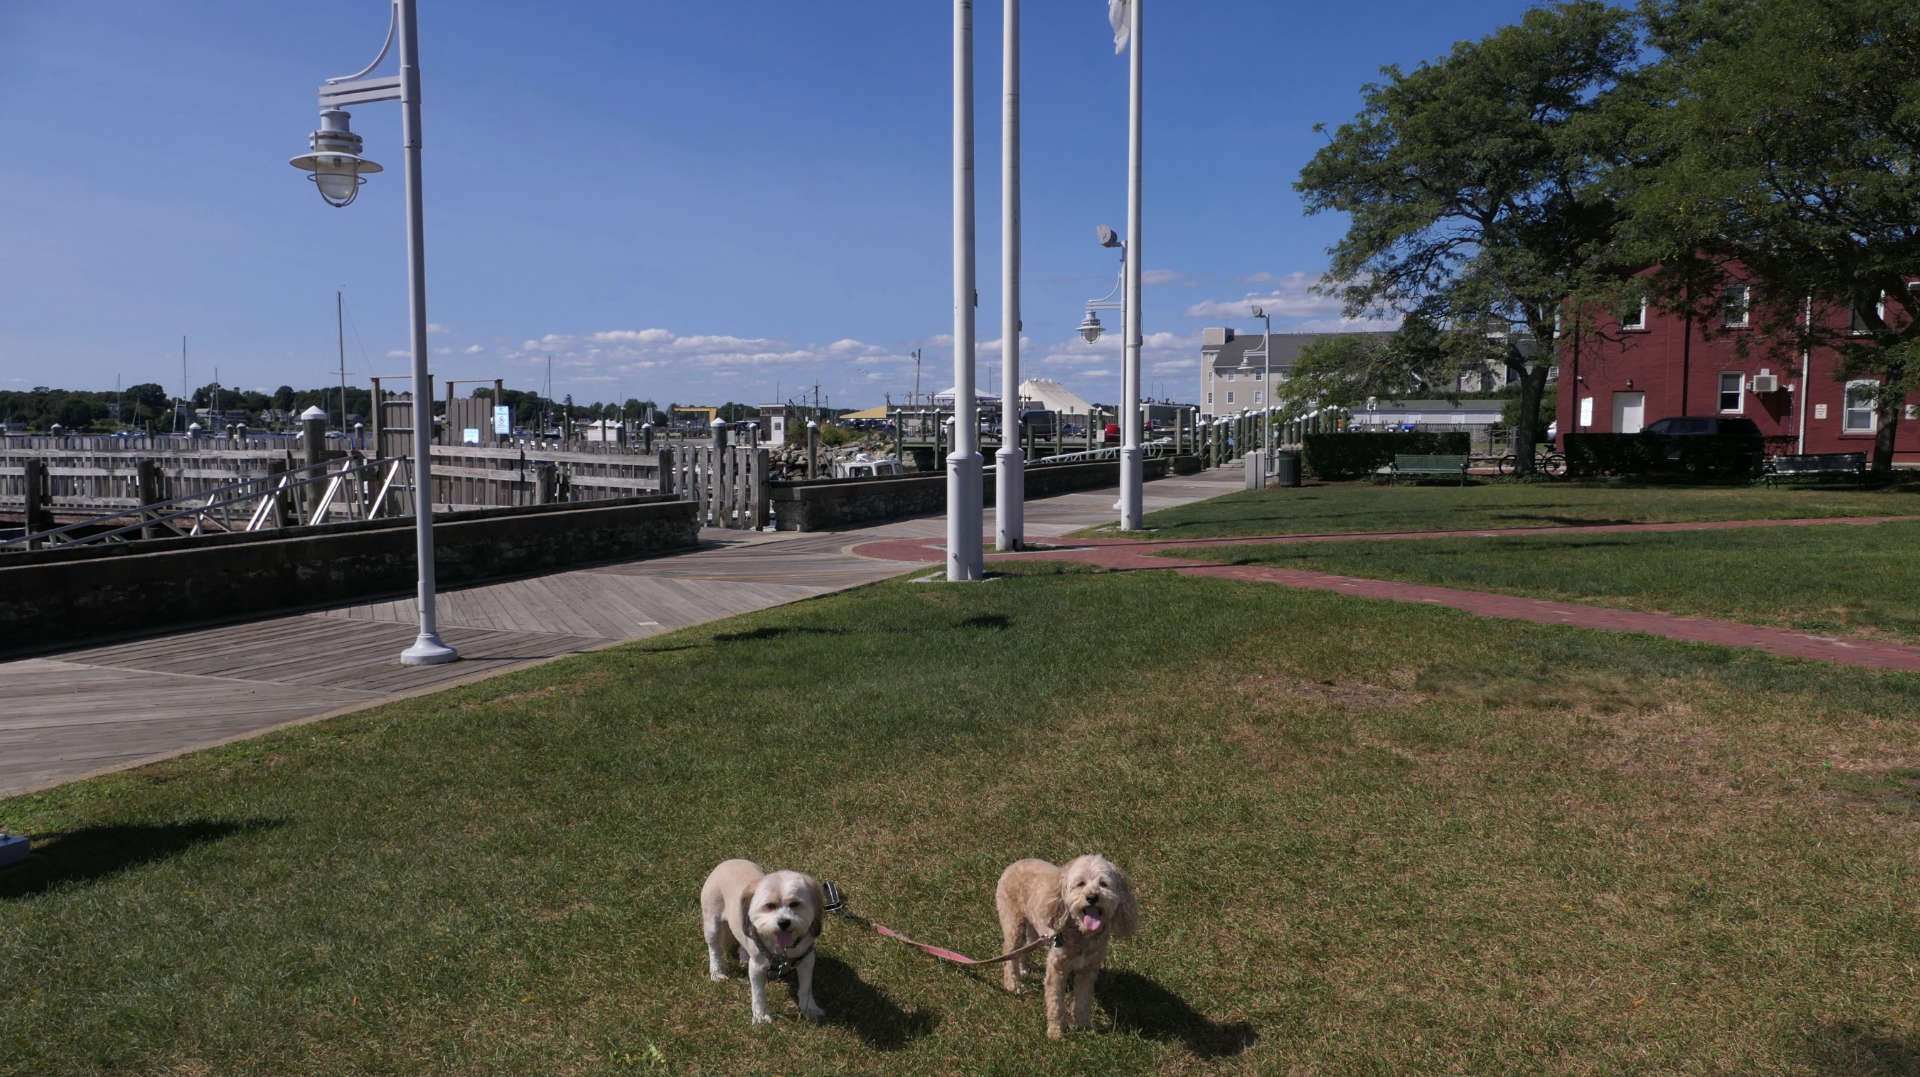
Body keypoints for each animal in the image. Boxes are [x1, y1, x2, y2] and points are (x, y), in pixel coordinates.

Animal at [702, 856, 829, 1021]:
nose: (784, 922)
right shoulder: (757, 966)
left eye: (795, 904)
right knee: (714, 948)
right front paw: (761, 1016)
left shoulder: (806, 958)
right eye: (769, 905)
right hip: (712, 921)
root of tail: (727, 862)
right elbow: (759, 993)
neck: (783, 951)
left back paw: (743, 956)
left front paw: (810, 1008)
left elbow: (806, 988)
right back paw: (717, 972)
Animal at [998, 852, 1128, 1036]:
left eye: (1104, 883)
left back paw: (1023, 970)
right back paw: (1012, 984)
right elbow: (1055, 1003)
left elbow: (1083, 1001)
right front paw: (1056, 1033)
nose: (1092, 897)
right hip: (1013, 922)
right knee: (1009, 953)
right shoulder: (1056, 968)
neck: (1081, 935)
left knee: (1024, 948)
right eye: (1080, 883)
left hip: (1031, 926)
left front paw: (1084, 1027)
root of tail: (1014, 864)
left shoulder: (1088, 969)